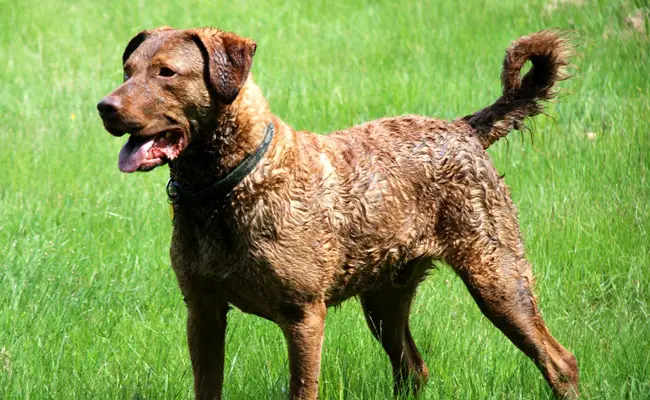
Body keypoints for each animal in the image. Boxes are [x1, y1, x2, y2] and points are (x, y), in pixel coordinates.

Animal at [97, 28, 576, 400]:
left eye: (166, 72)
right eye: (128, 70)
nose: (105, 107)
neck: (227, 188)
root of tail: (464, 128)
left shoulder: (304, 315)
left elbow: (302, 388)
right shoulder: (202, 309)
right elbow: (207, 385)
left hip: (497, 275)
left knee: (560, 361)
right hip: (384, 298)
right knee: (413, 369)